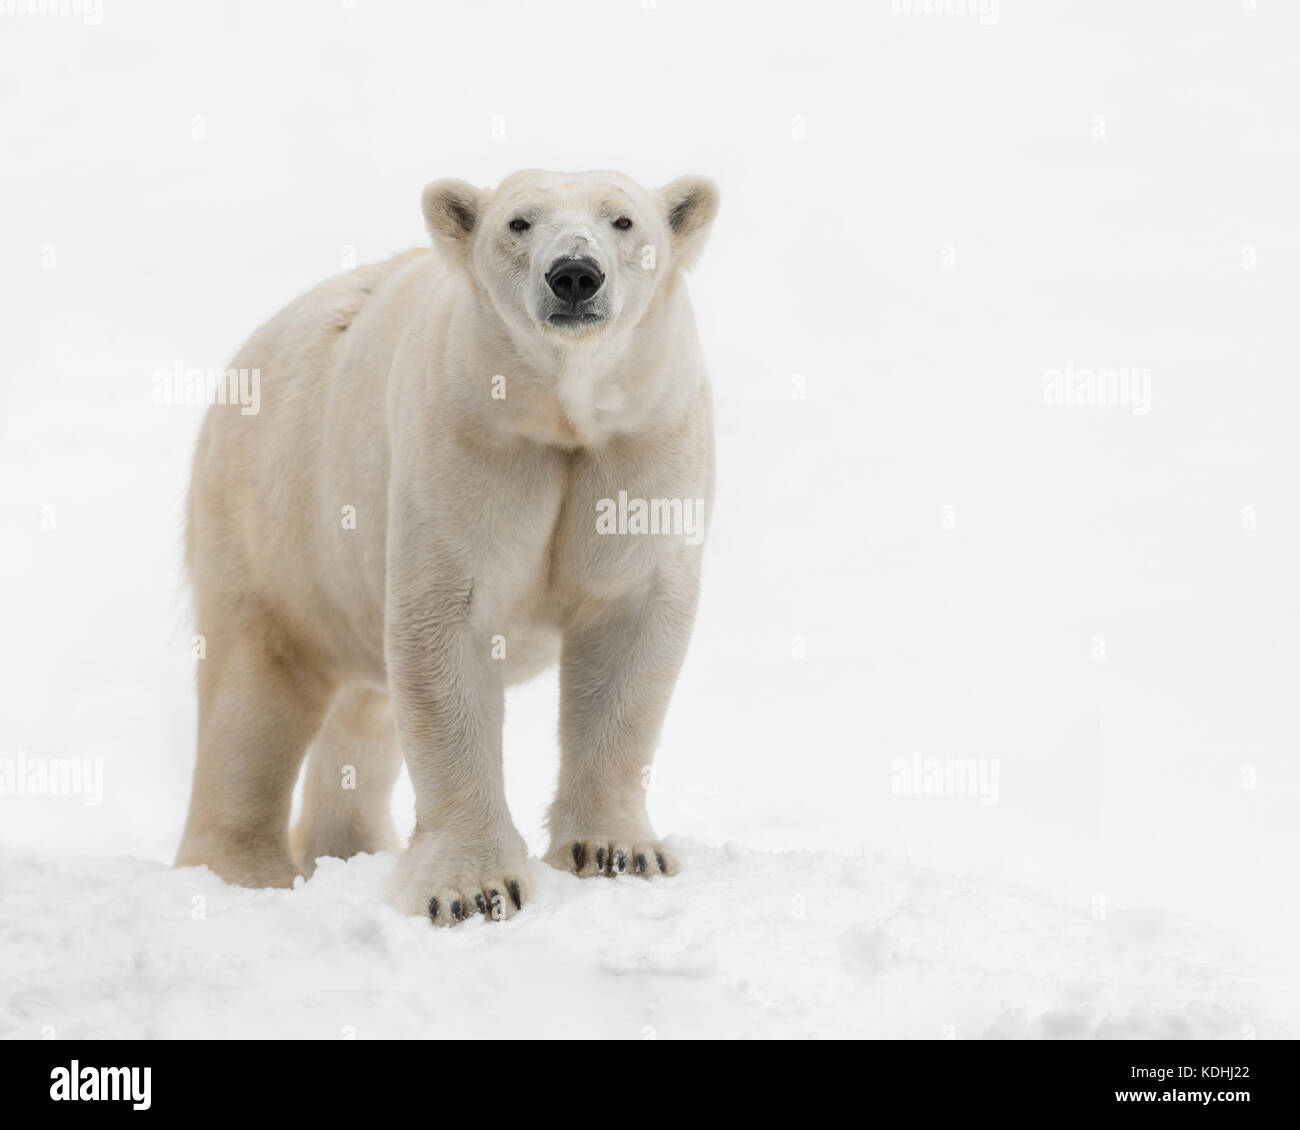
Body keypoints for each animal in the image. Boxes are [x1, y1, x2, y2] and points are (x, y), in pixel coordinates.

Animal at [172, 170, 722, 925]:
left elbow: (629, 628)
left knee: (362, 715)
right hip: (273, 516)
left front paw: (617, 853)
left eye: (623, 220)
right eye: (519, 222)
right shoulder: (466, 441)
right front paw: (473, 888)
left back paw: (350, 846)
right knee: (254, 690)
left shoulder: (642, 442)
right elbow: (447, 633)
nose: (574, 274)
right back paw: (243, 872)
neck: (559, 415)